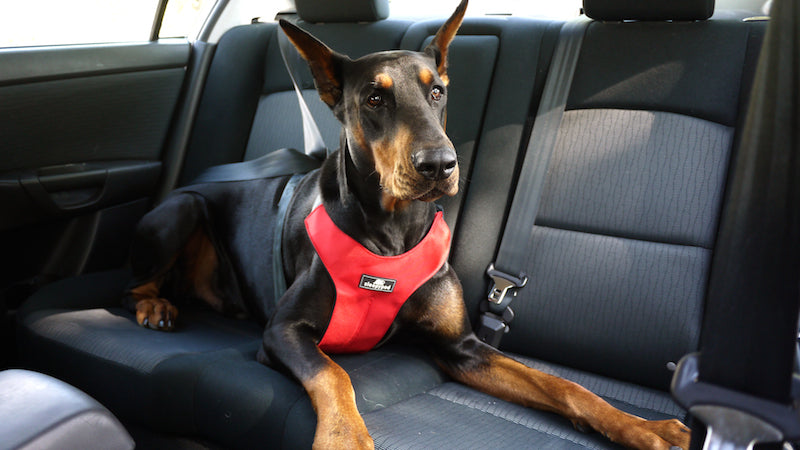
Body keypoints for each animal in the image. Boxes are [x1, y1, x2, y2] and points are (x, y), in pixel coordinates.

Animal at [122, 1, 692, 448]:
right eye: (374, 98)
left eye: (437, 91)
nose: (440, 165)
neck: (392, 233)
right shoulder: (283, 331)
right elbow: (333, 373)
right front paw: (345, 438)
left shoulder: (461, 348)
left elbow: (559, 384)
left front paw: (644, 427)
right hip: (182, 210)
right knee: (138, 280)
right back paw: (155, 305)